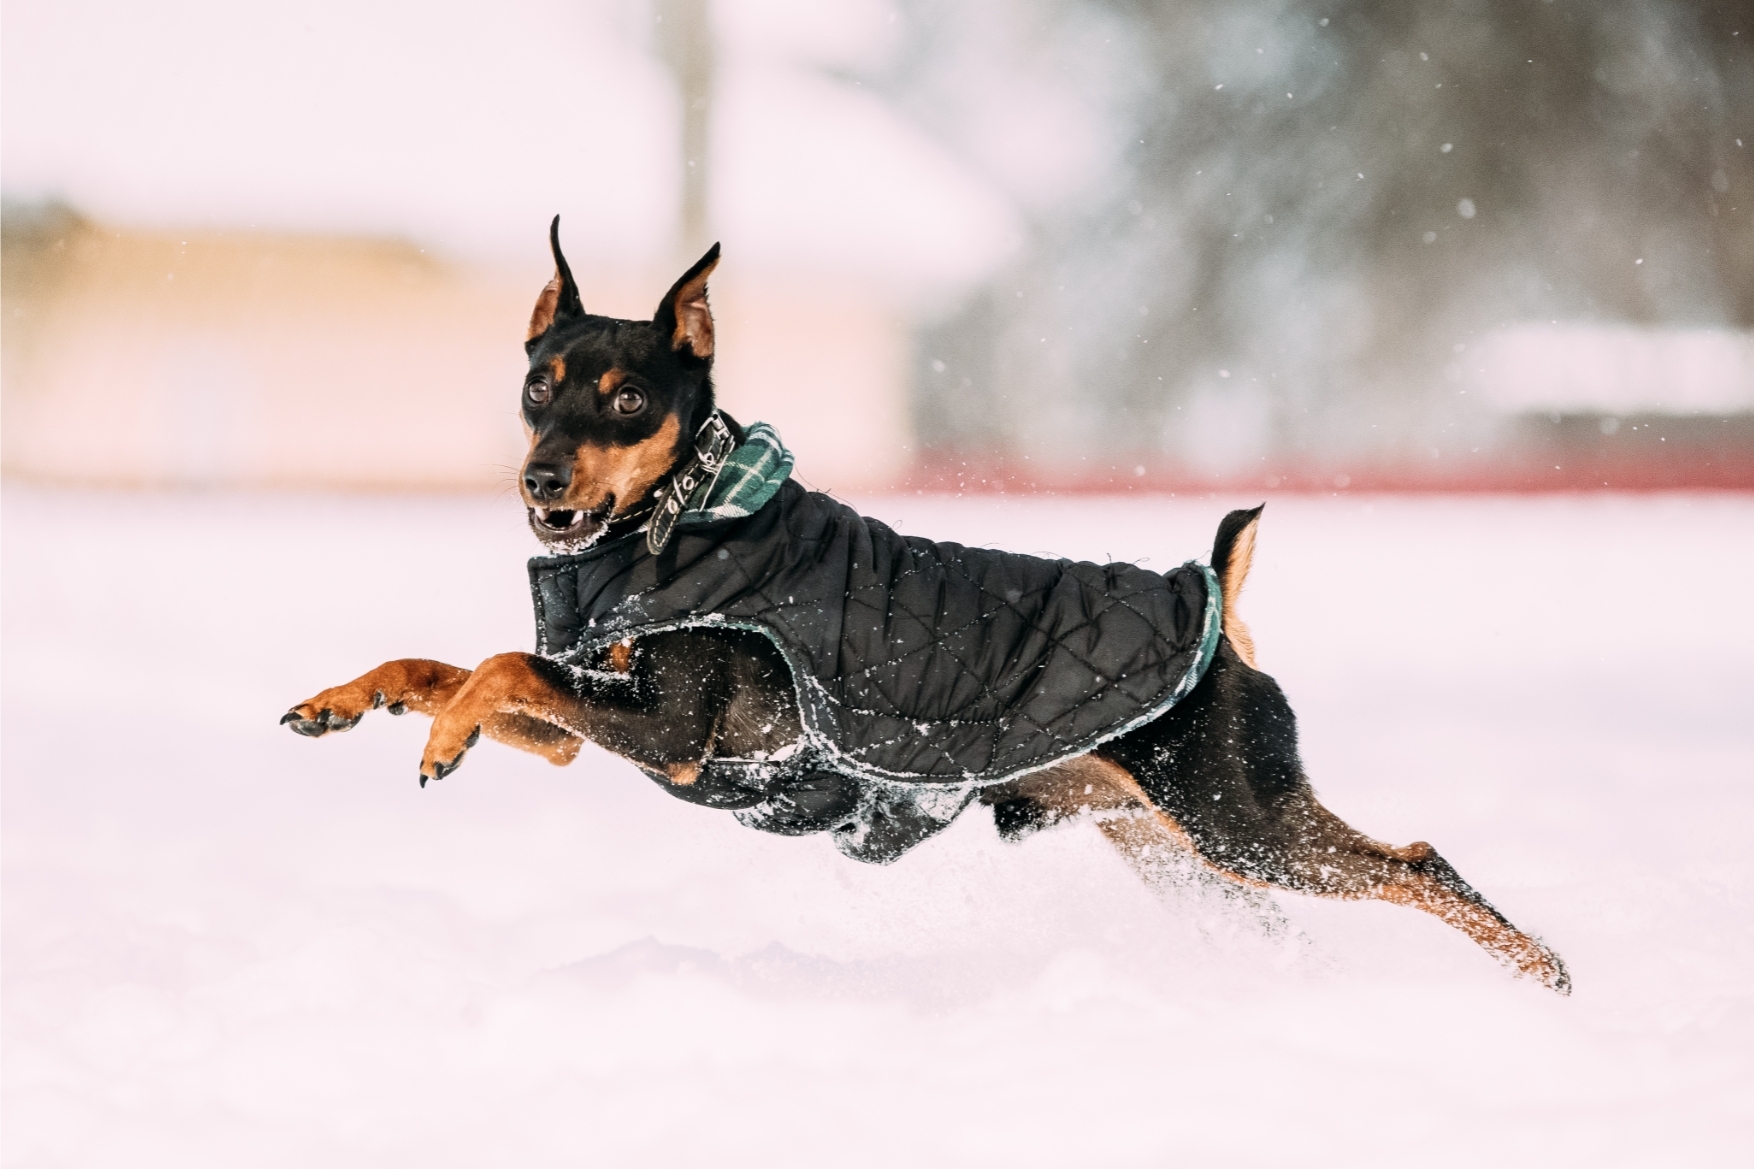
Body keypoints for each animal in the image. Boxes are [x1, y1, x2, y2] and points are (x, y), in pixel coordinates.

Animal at [280, 214, 1571, 989]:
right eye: (537, 388)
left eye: (626, 395)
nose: (540, 481)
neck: (680, 518)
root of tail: (1216, 610)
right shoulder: (577, 724)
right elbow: (445, 663)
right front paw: (349, 702)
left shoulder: (675, 733)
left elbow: (496, 662)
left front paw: (438, 743)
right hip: (1182, 854)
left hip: (1240, 819)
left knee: (1420, 862)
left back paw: (1544, 981)